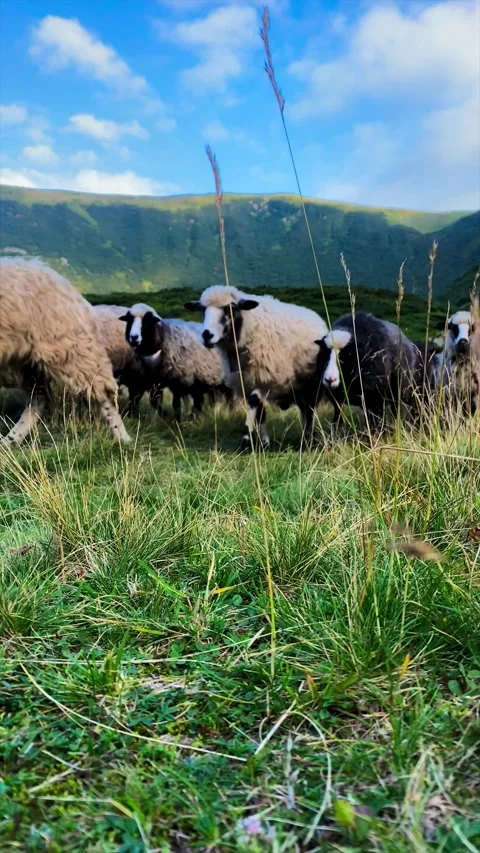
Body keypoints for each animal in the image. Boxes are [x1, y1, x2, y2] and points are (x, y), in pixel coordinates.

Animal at [0, 258, 130, 446]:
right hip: (25, 362)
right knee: (40, 399)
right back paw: (11, 440)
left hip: (70, 350)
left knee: (104, 395)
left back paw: (122, 438)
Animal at [185, 286, 328, 450]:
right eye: (203, 309)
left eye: (231, 308)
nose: (207, 335)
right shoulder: (246, 382)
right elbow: (260, 412)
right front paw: (264, 443)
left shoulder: (263, 378)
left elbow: (254, 404)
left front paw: (245, 441)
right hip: (298, 388)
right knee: (304, 409)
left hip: (311, 383)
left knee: (310, 410)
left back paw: (307, 440)